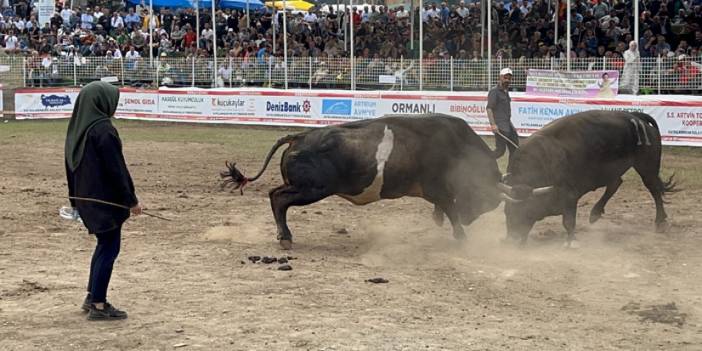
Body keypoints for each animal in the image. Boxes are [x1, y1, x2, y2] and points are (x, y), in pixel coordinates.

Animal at [220, 115, 512, 250]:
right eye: (485, 200)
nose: (468, 218)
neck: (457, 146)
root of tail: (300, 136)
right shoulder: (437, 189)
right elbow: (449, 206)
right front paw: (461, 235)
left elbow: (444, 208)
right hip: (312, 189)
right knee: (277, 197)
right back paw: (285, 237)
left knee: (276, 196)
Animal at [500, 111, 676, 249]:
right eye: (507, 211)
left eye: (528, 211)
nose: (512, 239)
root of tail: (635, 117)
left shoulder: (569, 196)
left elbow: (569, 221)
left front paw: (572, 241)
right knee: (615, 183)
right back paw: (595, 213)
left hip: (647, 167)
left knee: (654, 189)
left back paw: (660, 222)